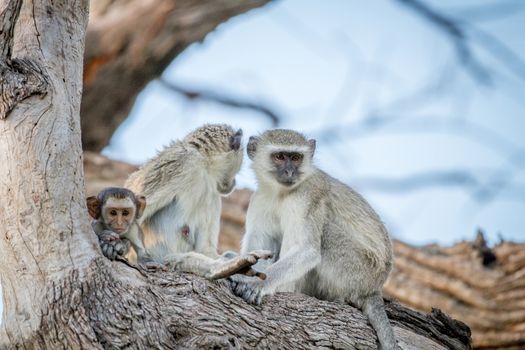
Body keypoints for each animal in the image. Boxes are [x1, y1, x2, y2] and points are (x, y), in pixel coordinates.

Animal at [123, 124, 270, 280]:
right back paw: (223, 267)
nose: (234, 182)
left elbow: (204, 249)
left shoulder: (212, 193)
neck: (204, 164)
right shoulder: (183, 162)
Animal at [231, 129, 400, 350]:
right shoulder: (260, 198)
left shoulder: (308, 196)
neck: (280, 193)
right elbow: (260, 244)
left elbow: (307, 250)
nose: (289, 173)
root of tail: (374, 287)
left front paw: (258, 284)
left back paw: (287, 288)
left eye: (296, 158)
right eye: (280, 156)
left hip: (356, 271)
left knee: (324, 233)